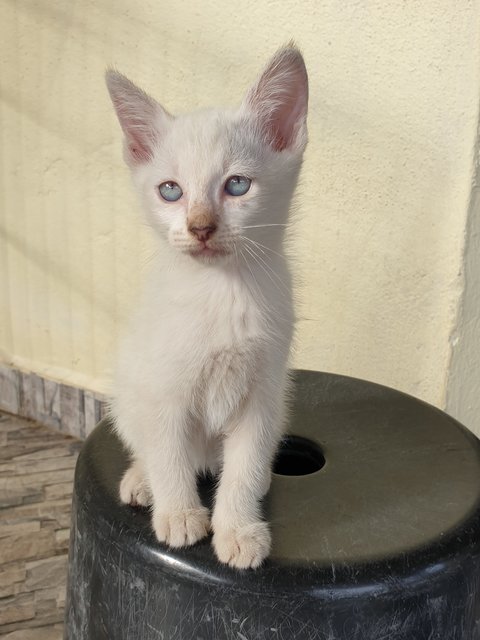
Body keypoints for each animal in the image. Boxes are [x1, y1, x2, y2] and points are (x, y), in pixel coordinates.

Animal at [105, 46, 308, 568]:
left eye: (236, 185)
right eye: (170, 190)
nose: (200, 227)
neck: (221, 290)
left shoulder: (262, 394)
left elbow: (245, 464)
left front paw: (237, 528)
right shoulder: (163, 388)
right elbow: (167, 453)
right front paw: (179, 515)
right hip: (127, 390)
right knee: (149, 446)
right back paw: (142, 482)